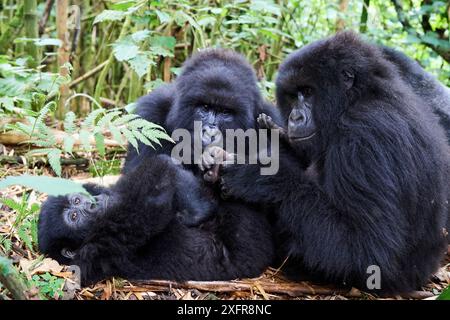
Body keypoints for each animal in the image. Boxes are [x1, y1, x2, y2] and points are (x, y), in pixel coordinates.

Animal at [221, 31, 450, 294]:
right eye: (293, 95)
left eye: (308, 92)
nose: (295, 117)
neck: (358, 98)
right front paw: (278, 135)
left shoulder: (363, 136)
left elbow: (369, 250)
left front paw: (261, 177)